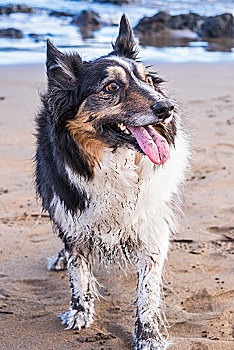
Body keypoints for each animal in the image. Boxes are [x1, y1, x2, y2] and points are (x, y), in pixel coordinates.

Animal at [35, 14, 190, 350]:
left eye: (148, 80)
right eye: (111, 86)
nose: (166, 108)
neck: (115, 161)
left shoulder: (151, 224)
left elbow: (147, 290)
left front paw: (148, 334)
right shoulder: (72, 213)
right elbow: (78, 270)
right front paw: (79, 311)